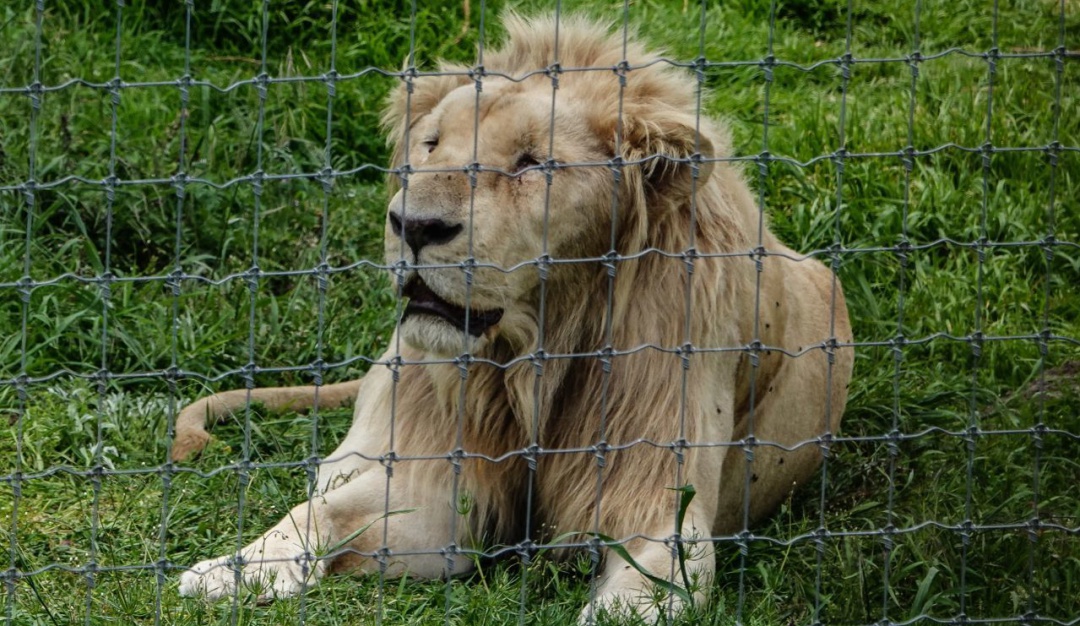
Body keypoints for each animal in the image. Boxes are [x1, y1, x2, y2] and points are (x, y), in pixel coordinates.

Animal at [177, 13, 851, 621]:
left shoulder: (662, 516)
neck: (533, 356)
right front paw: (229, 571)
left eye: (532, 164)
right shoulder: (441, 493)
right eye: (431, 145)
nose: (412, 226)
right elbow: (323, 513)